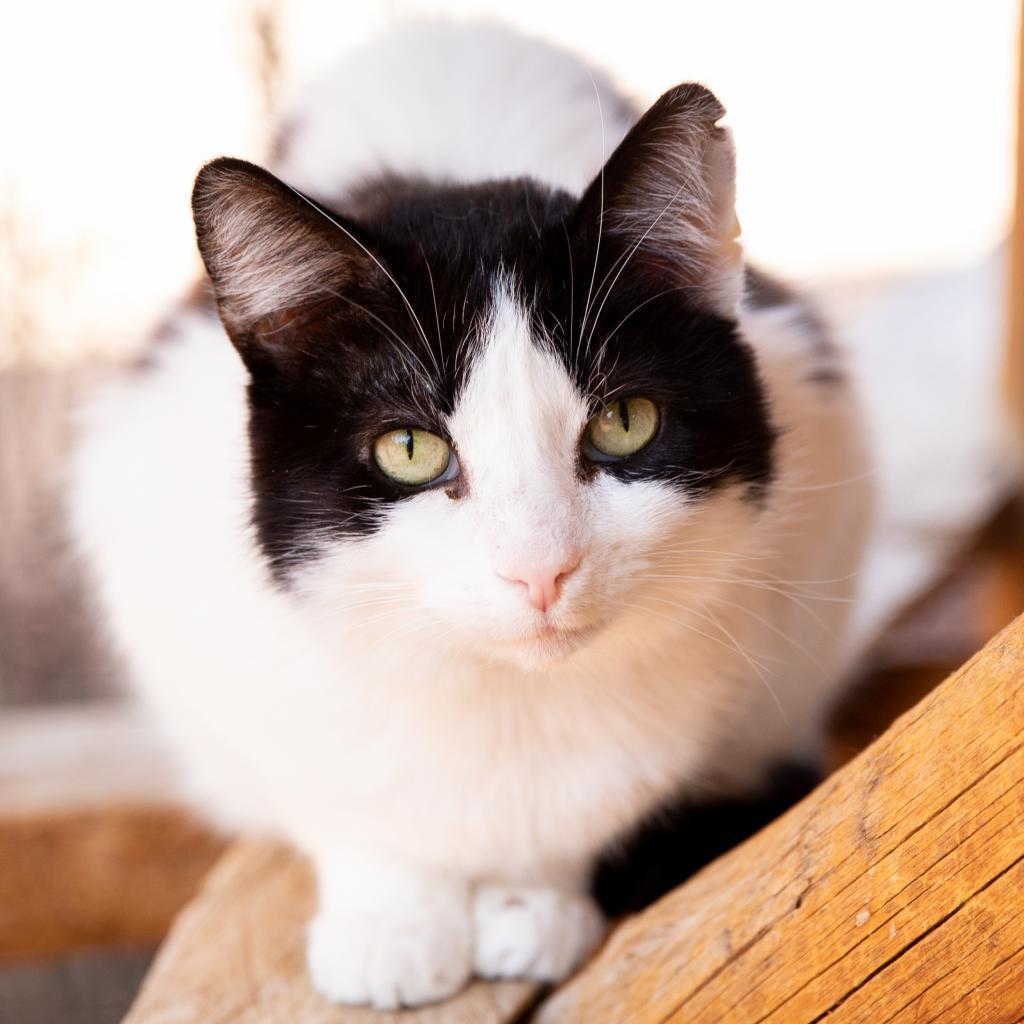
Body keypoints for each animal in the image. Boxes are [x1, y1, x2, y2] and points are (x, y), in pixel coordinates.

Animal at [70, 22, 872, 1007]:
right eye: (410, 449)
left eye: (624, 422)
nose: (540, 568)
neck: (505, 701)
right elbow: (337, 797)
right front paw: (393, 921)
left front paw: (537, 905)